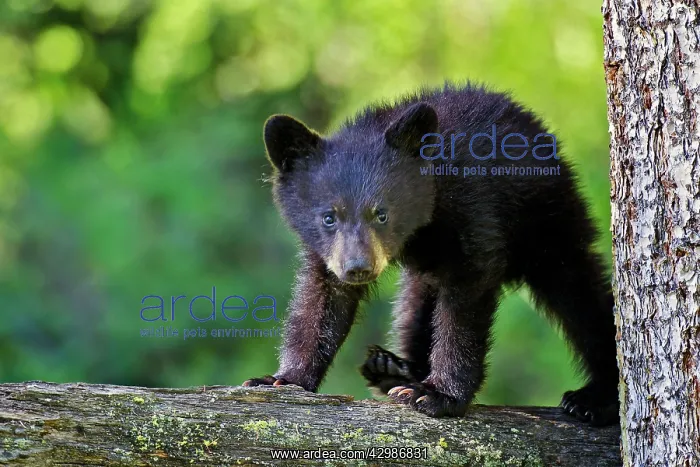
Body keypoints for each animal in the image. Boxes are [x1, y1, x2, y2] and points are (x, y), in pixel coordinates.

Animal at [243, 82, 620, 426]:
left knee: (580, 296)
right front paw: (282, 379)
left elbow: (464, 306)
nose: (358, 268)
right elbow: (321, 301)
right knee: (415, 305)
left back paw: (596, 397)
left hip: (549, 221)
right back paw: (393, 370)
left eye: (382, 213)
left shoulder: (474, 206)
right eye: (329, 216)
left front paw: (439, 394)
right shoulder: (327, 254)